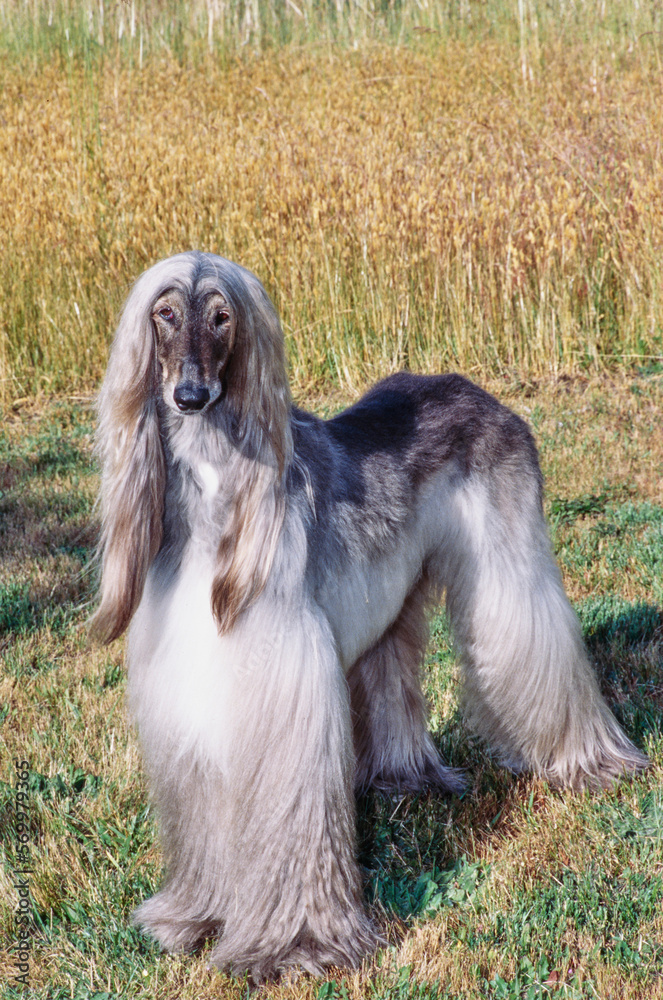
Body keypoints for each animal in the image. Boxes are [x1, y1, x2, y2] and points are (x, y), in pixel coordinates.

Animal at [92, 254, 648, 980]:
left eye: (221, 316)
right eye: (163, 314)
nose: (190, 395)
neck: (218, 492)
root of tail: (474, 386)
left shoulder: (287, 681)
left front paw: (294, 945)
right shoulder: (195, 676)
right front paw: (194, 917)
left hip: (510, 567)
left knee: (540, 640)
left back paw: (593, 762)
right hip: (393, 592)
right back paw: (404, 777)